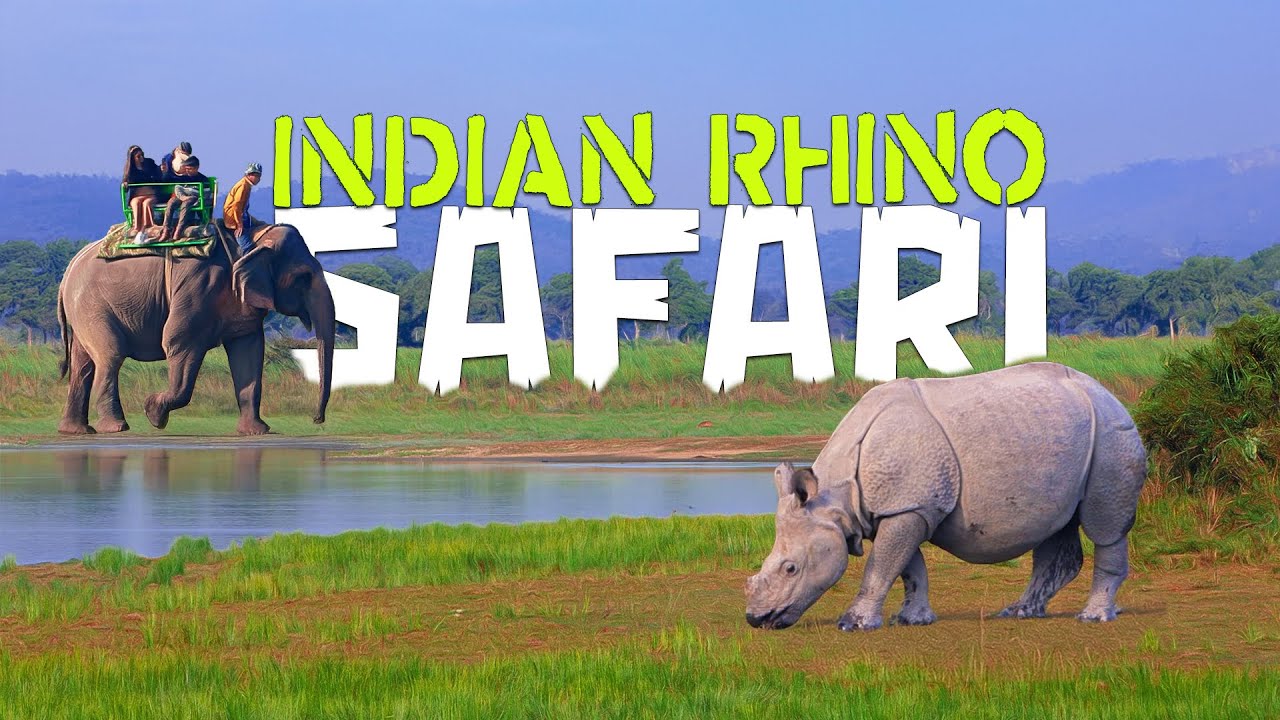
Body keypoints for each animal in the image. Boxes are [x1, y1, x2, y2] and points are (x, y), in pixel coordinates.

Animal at [745, 362, 1147, 631]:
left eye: (791, 568)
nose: (755, 618)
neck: (834, 500)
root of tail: (1107, 392)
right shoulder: (906, 507)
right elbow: (908, 567)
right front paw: (912, 620)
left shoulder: (908, 507)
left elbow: (881, 566)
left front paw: (853, 624)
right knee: (1056, 527)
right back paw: (1018, 612)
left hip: (1110, 432)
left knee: (1105, 526)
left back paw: (1092, 617)